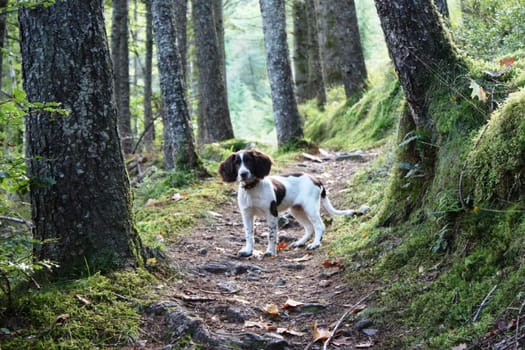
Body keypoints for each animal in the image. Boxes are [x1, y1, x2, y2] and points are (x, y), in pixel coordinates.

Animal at [218, 148, 364, 258]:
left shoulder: (271, 213)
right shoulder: (246, 214)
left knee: (319, 226)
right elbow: (249, 234)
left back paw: (315, 244)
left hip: (310, 207)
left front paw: (270, 252)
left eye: (249, 162)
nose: (243, 174)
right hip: (296, 210)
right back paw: (299, 242)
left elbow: (271, 235)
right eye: (237, 163)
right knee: (309, 227)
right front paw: (248, 251)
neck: (252, 188)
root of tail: (316, 179)